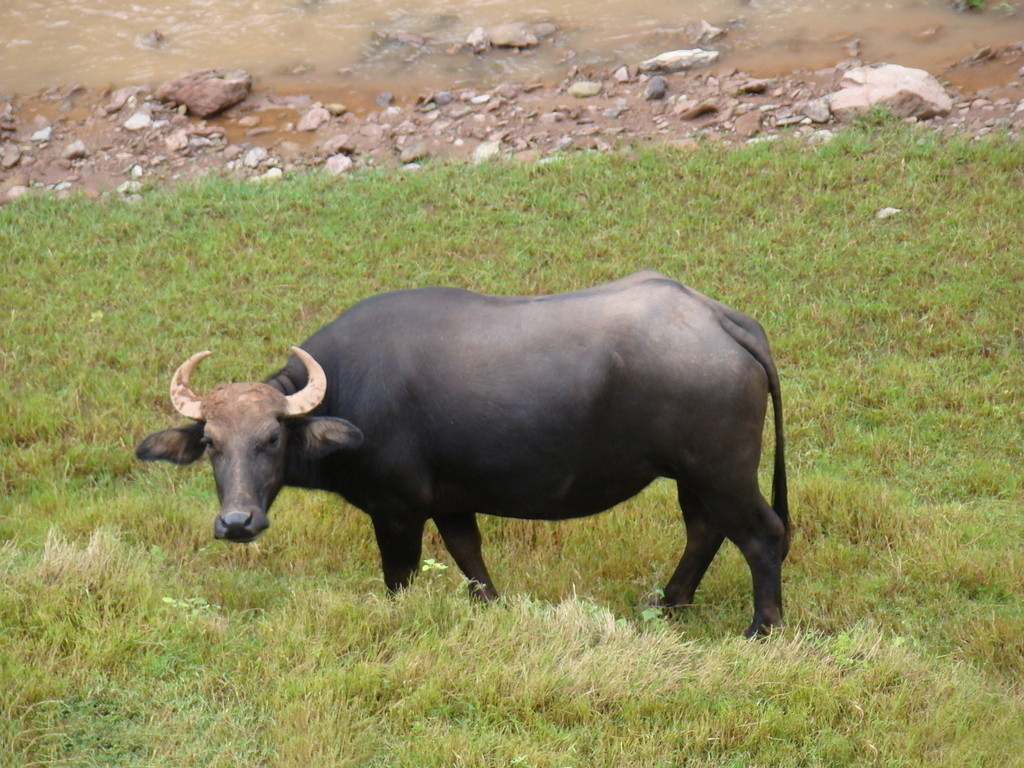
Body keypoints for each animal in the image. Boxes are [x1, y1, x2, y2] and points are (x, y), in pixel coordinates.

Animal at [136, 271, 789, 636]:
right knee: (704, 529)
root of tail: (716, 318)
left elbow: (399, 575)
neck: (350, 388)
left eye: (271, 438)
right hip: (690, 473)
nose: (236, 522)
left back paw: (762, 628)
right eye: (212, 444)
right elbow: (468, 554)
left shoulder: (397, 509)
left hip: (722, 468)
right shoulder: (451, 500)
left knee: (762, 535)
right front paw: (492, 606)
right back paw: (671, 603)